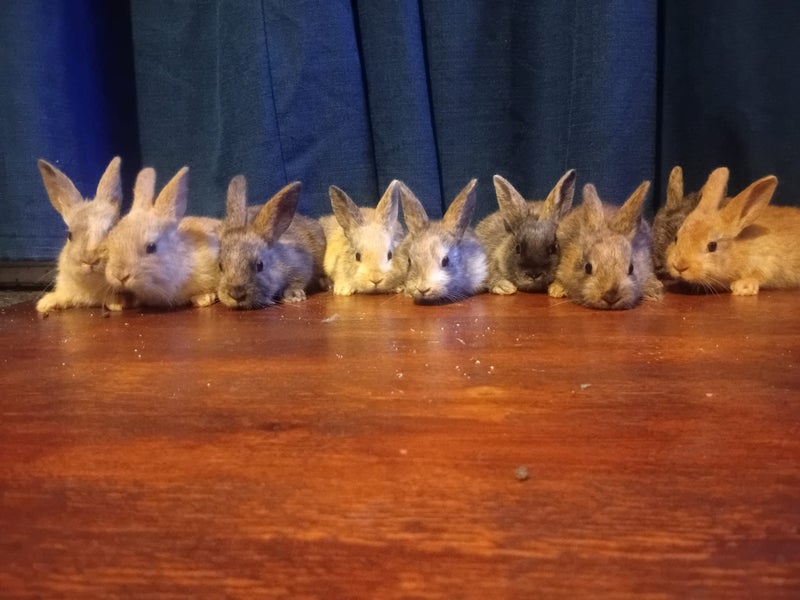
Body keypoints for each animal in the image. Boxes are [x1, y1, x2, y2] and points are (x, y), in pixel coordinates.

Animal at [218, 176, 326, 309]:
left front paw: (293, 295)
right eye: (220, 266)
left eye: (260, 265)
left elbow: (298, 281)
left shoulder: (301, 265)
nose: (236, 294)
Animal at [667, 167, 800, 295]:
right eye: (676, 238)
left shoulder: (767, 263)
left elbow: (758, 276)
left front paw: (742, 287)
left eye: (712, 246)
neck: (739, 250)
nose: (679, 266)